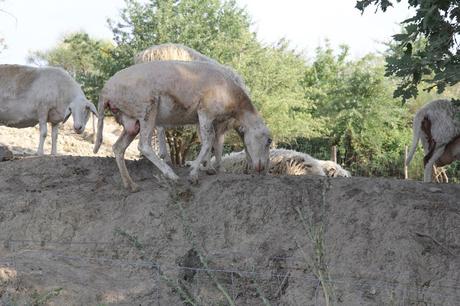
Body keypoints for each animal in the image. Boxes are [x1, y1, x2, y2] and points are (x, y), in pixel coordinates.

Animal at [94, 59, 274, 191]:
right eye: (269, 141)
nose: (261, 169)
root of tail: (105, 91)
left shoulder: (203, 119)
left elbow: (210, 142)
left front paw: (208, 168)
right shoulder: (206, 113)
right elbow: (209, 142)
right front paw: (194, 173)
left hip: (131, 120)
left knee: (118, 148)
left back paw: (130, 184)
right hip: (147, 109)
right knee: (144, 145)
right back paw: (171, 175)